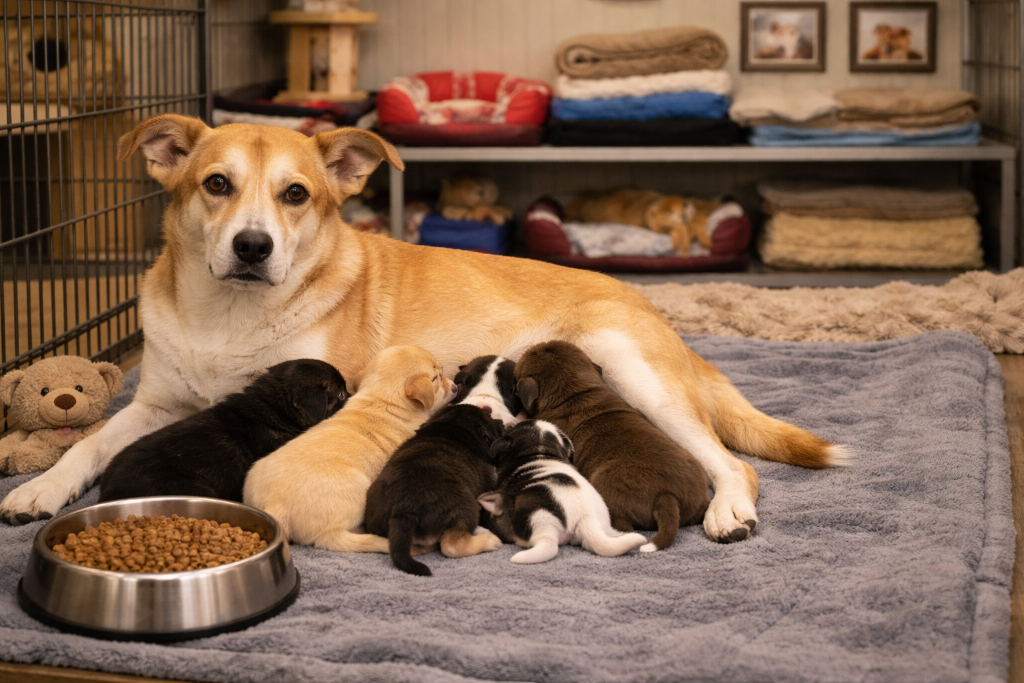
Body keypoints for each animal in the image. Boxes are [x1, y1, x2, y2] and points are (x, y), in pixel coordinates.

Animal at [242, 346, 457, 552]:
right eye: (436, 378)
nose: (455, 387)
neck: (381, 398)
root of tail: (275, 506)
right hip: (356, 492)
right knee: (333, 540)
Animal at [364, 403, 506, 576]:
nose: (502, 422)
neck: (453, 427)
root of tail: (403, 511)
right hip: (467, 508)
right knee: (451, 546)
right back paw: (490, 541)